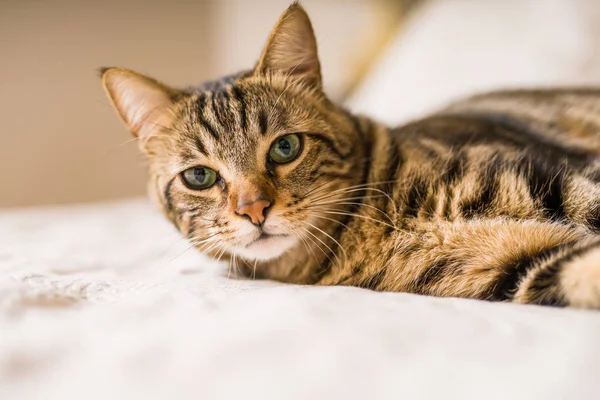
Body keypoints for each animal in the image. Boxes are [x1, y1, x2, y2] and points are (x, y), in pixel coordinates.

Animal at [99, 1, 600, 310]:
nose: (254, 209)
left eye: (285, 147)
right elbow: (578, 267)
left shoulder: (556, 177)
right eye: (199, 177)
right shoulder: (510, 265)